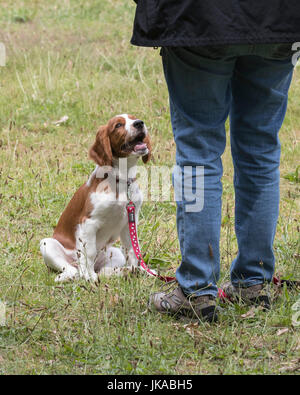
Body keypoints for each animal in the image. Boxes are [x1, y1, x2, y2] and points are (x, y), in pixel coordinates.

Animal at [39, 113, 151, 284]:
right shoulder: (89, 222)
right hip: (48, 244)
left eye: (135, 118)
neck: (121, 179)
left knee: (104, 271)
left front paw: (140, 270)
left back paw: (125, 271)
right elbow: (89, 252)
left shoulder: (129, 222)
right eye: (118, 125)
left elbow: (133, 249)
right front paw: (89, 276)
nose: (139, 123)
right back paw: (70, 275)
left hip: (114, 253)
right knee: (74, 269)